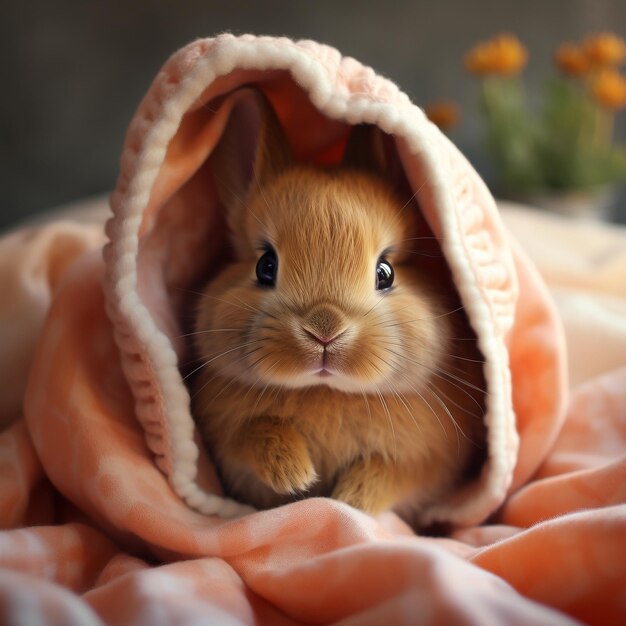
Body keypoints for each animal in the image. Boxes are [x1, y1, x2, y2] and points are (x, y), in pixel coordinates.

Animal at [193, 89, 486, 516]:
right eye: (266, 266)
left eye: (385, 273)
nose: (325, 331)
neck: (325, 391)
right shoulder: (228, 432)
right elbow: (254, 433)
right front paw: (294, 474)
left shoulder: (426, 460)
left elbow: (389, 473)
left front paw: (351, 500)